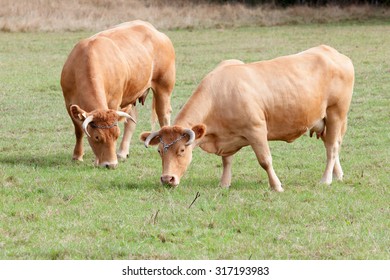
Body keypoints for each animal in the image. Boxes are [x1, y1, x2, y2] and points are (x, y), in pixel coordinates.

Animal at [60, 20, 175, 168]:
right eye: (97, 137)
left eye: (116, 135)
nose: (111, 164)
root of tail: (154, 30)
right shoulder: (69, 103)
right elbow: (79, 130)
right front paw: (77, 156)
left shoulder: (114, 102)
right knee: (131, 121)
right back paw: (122, 152)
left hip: (163, 88)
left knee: (163, 115)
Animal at [140, 44, 354, 191]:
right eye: (159, 151)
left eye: (182, 150)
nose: (167, 179)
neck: (220, 93)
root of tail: (334, 54)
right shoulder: (225, 136)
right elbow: (227, 161)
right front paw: (224, 183)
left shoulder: (257, 130)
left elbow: (265, 160)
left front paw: (276, 186)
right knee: (333, 144)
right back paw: (338, 174)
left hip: (336, 113)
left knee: (332, 147)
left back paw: (326, 179)